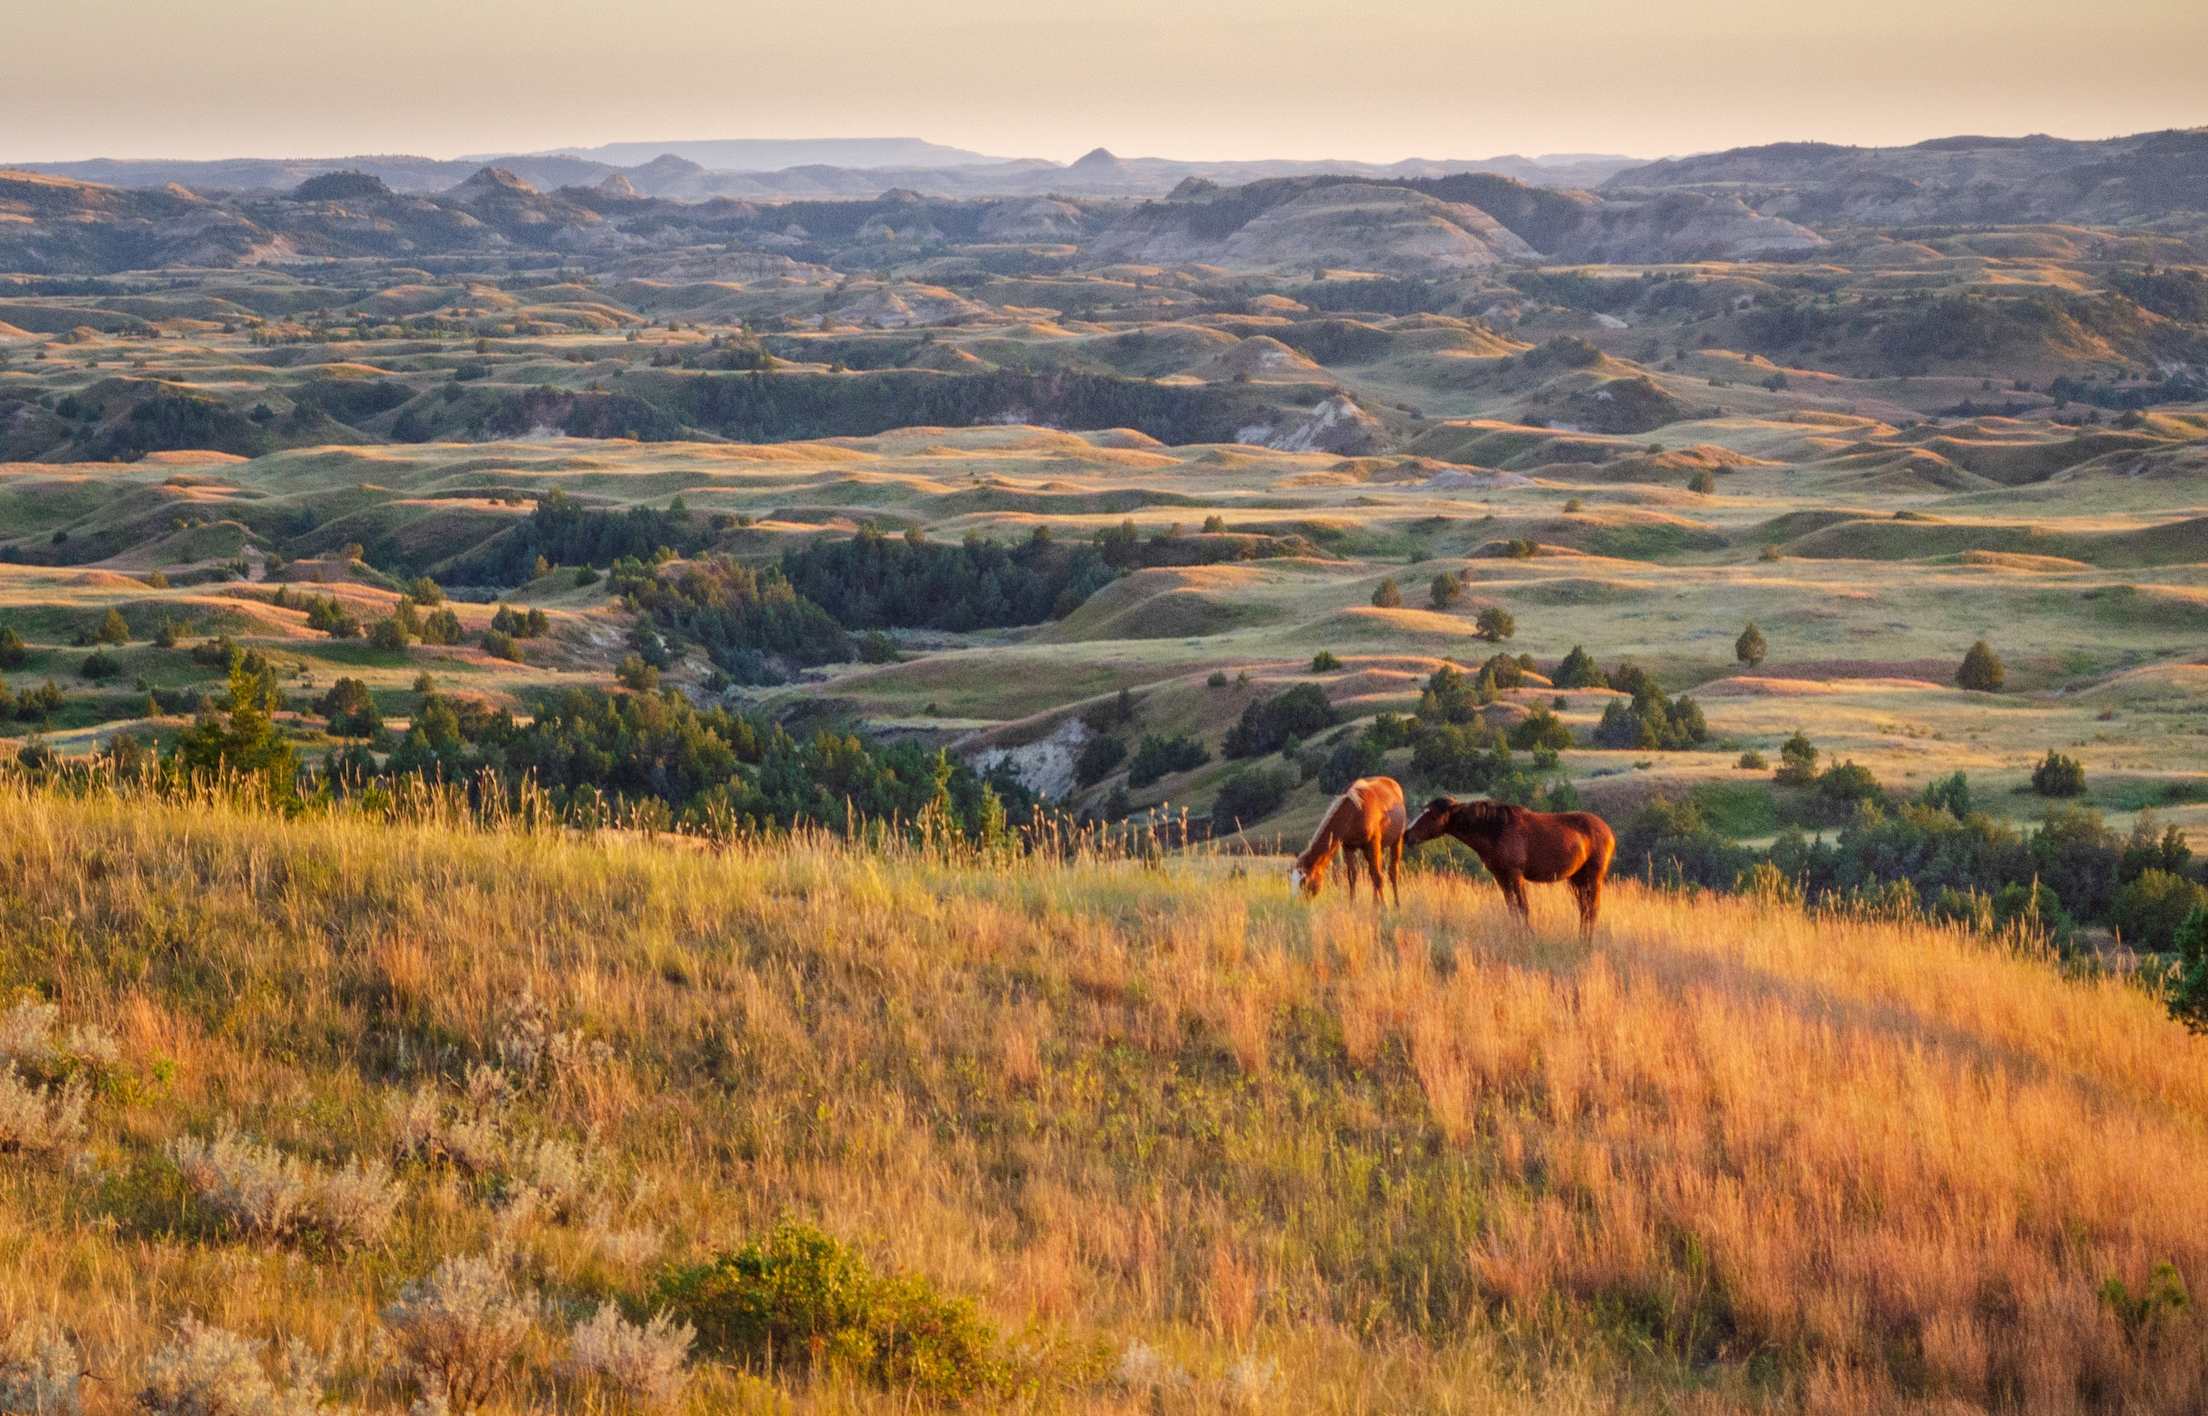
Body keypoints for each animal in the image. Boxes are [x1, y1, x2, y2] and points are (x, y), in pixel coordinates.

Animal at [1290, 776, 1407, 905]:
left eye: (1303, 882)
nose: (1296, 904)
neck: (1355, 812)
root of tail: (1392, 782)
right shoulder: (1348, 847)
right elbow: (1352, 876)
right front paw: (1352, 905)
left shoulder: (1372, 844)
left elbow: (1378, 877)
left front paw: (1385, 907)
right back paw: (1375, 905)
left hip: (1396, 841)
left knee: (1392, 872)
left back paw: (1397, 904)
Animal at [1403, 797, 1615, 938]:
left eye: (1431, 815)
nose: (1406, 835)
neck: (1496, 829)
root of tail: (1608, 831)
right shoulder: (1501, 876)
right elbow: (1512, 909)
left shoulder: (1515, 875)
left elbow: (1523, 908)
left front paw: (1528, 936)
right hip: (1578, 879)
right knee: (1585, 909)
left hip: (1592, 877)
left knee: (1592, 909)